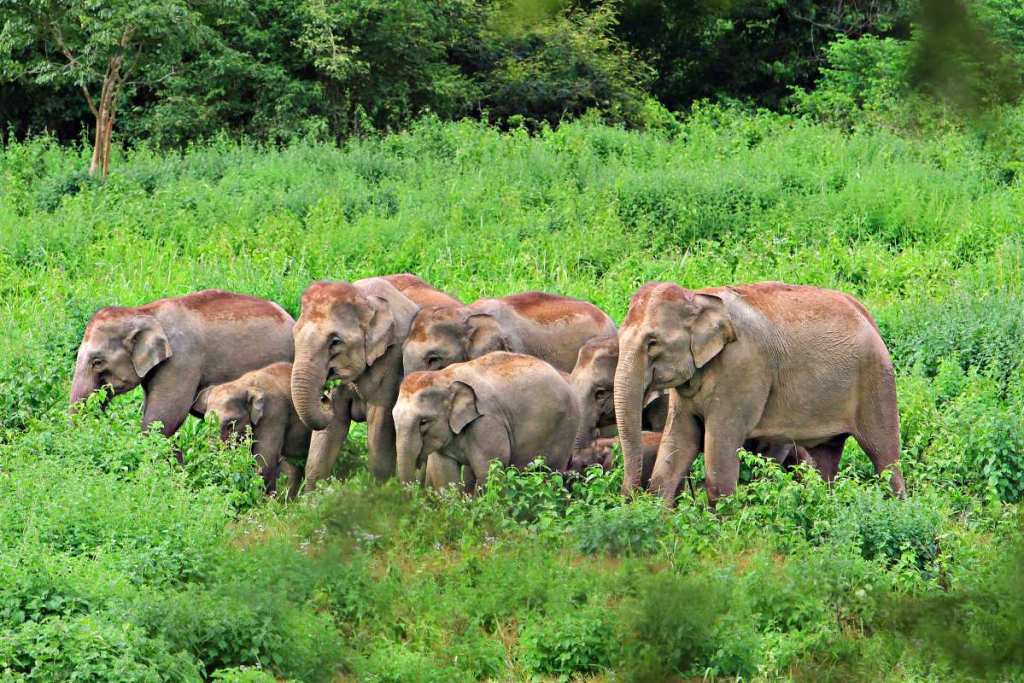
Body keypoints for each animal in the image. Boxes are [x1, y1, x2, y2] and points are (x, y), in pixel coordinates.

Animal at [290, 274, 460, 490]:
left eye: (335, 341)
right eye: (294, 334)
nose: (324, 397)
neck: (364, 298)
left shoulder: (392, 360)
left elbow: (380, 423)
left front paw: (378, 492)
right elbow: (330, 430)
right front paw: (312, 496)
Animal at [393, 352, 580, 492]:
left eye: (423, 422)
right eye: (393, 418)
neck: (445, 377)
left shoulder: (487, 423)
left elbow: (489, 470)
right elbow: (446, 476)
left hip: (565, 429)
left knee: (549, 472)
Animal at [614, 281, 906, 505]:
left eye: (652, 343)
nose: (629, 497)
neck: (697, 296)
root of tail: (866, 315)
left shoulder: (741, 369)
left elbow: (719, 447)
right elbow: (679, 441)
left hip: (876, 379)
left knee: (884, 455)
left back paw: (897, 509)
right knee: (826, 457)